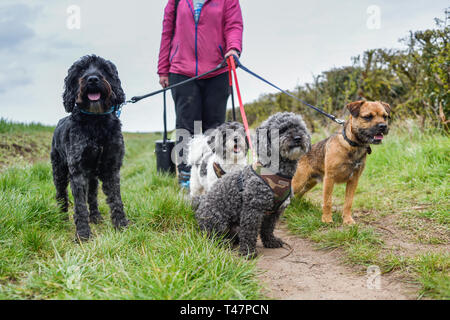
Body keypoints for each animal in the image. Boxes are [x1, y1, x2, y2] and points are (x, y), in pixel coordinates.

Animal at [52, 55, 130, 240]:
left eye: (103, 68)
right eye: (81, 69)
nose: (92, 79)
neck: (96, 121)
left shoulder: (111, 167)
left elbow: (116, 199)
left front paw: (121, 226)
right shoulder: (78, 170)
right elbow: (80, 205)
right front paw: (82, 234)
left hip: (92, 176)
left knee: (93, 196)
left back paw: (95, 217)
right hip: (59, 170)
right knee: (61, 194)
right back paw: (62, 217)